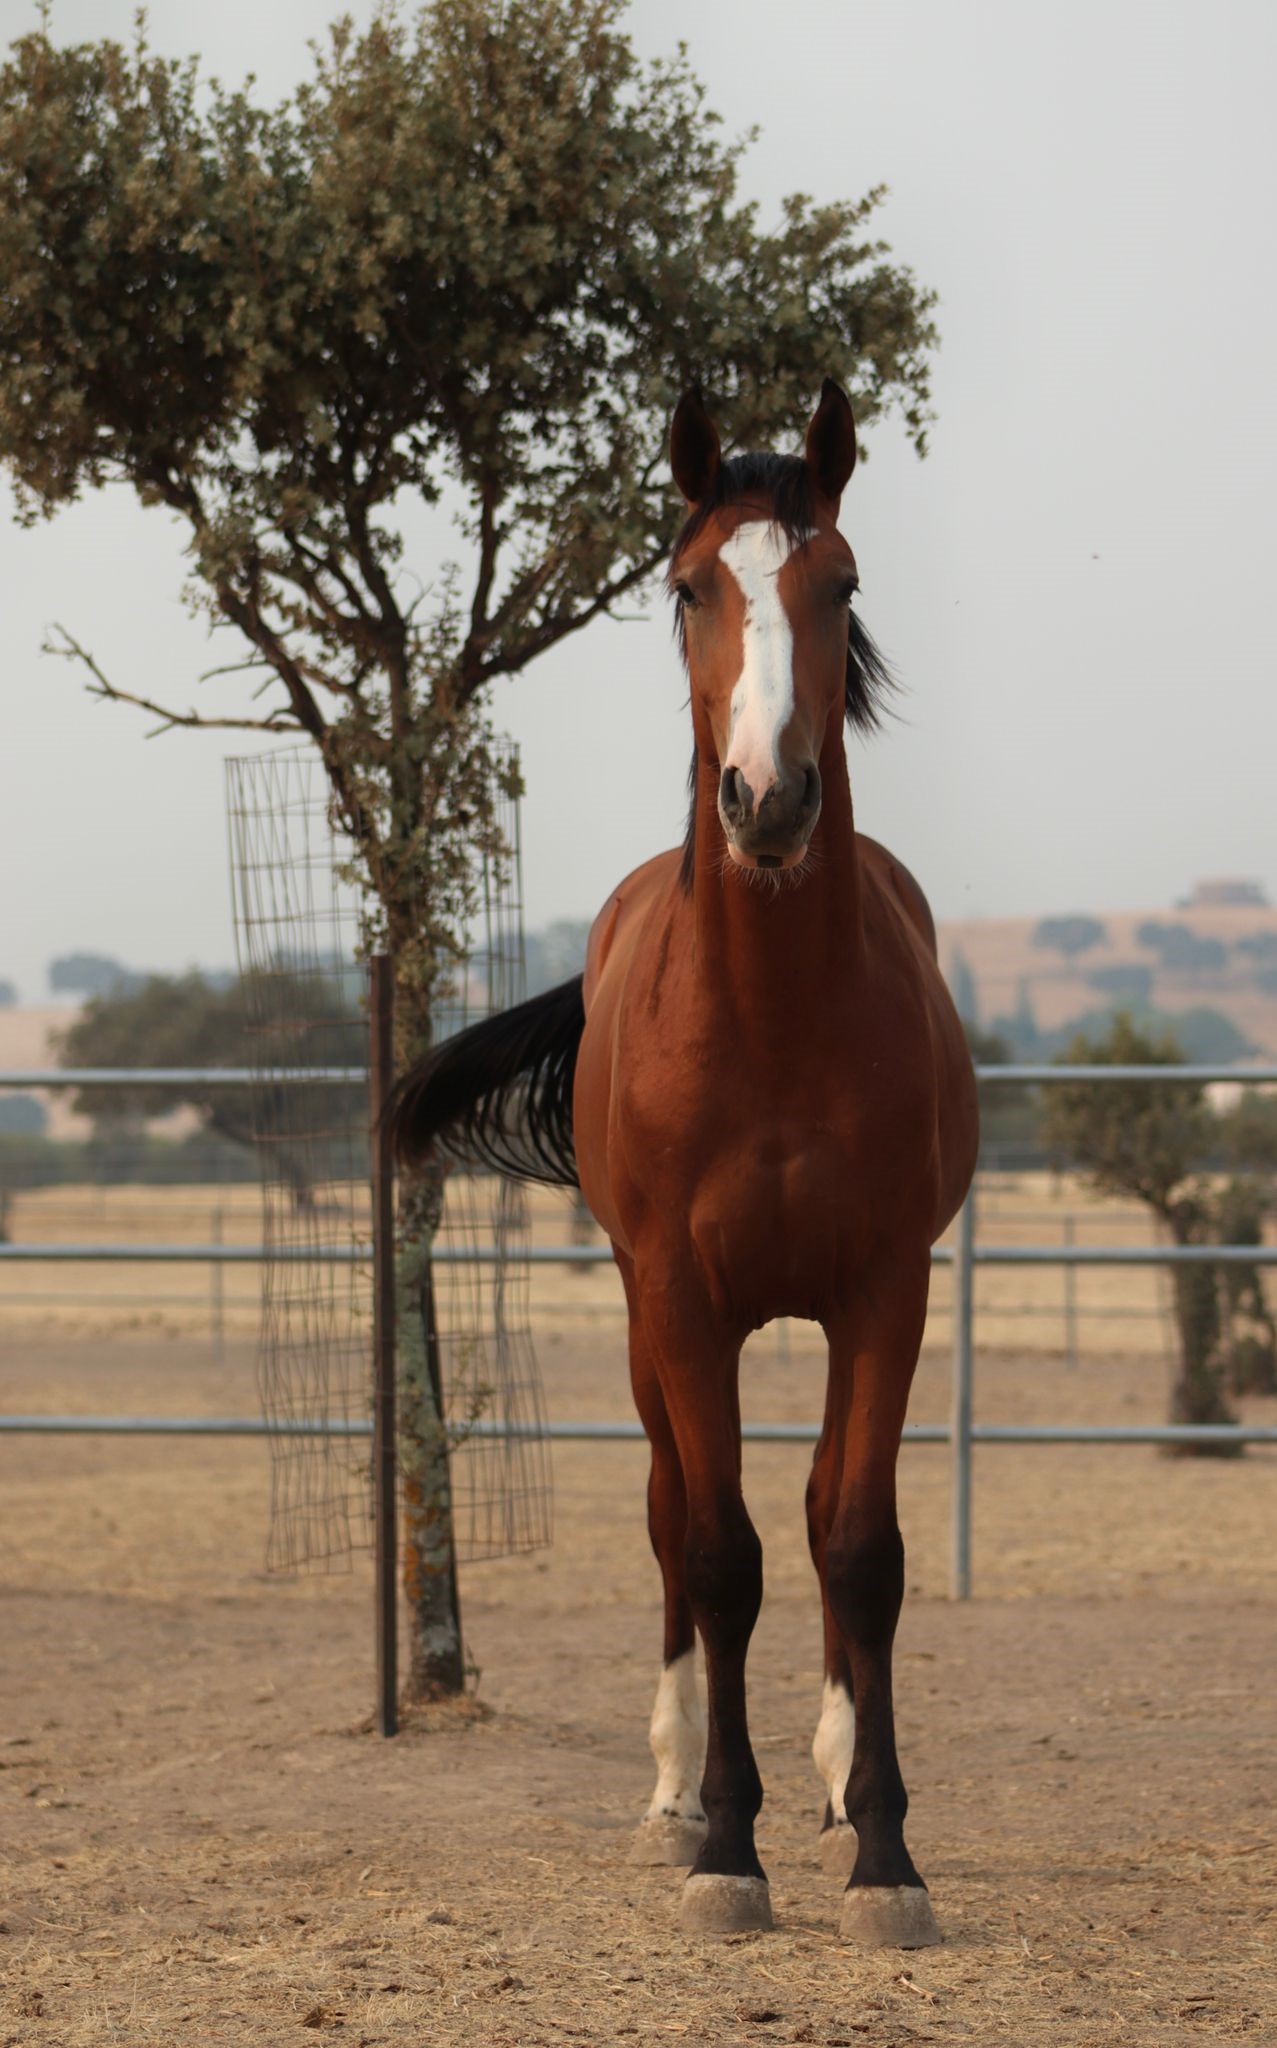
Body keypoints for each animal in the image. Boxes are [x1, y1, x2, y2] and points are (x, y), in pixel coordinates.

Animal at [390, 379, 978, 1946]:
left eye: (841, 584)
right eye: (686, 586)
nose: (766, 799)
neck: (770, 1022)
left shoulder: (885, 1292)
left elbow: (858, 1544)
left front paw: (881, 1850)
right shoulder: (677, 1299)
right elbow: (714, 1551)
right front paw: (724, 1846)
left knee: (825, 1512)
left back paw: (829, 1779)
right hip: (646, 1323)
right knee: (670, 1518)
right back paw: (669, 1797)